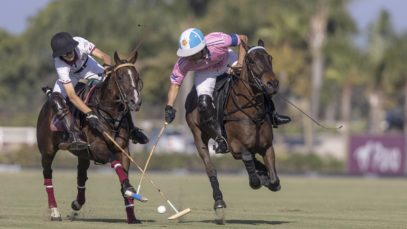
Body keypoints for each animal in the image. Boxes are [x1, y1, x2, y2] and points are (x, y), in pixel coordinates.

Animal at [37, 50, 145, 224]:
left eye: (136, 76)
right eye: (120, 77)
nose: (135, 102)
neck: (110, 113)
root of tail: (46, 103)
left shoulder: (123, 149)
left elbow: (123, 173)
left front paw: (132, 215)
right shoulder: (97, 147)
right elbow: (114, 162)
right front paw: (129, 189)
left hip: (83, 154)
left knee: (81, 176)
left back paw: (77, 203)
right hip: (47, 151)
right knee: (48, 176)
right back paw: (54, 212)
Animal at [186, 39, 282, 224]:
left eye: (270, 58)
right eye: (251, 61)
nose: (272, 84)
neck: (252, 112)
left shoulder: (267, 146)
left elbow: (274, 181)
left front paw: (266, 176)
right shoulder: (236, 147)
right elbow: (249, 164)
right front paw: (259, 178)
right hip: (198, 136)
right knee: (210, 168)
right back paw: (219, 201)